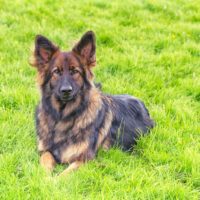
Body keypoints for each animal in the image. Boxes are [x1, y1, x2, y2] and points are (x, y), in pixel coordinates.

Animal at [30, 30, 154, 176]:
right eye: (56, 72)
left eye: (75, 71)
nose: (66, 90)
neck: (62, 117)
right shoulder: (45, 150)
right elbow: (46, 160)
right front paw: (45, 178)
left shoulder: (84, 159)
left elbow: (64, 174)